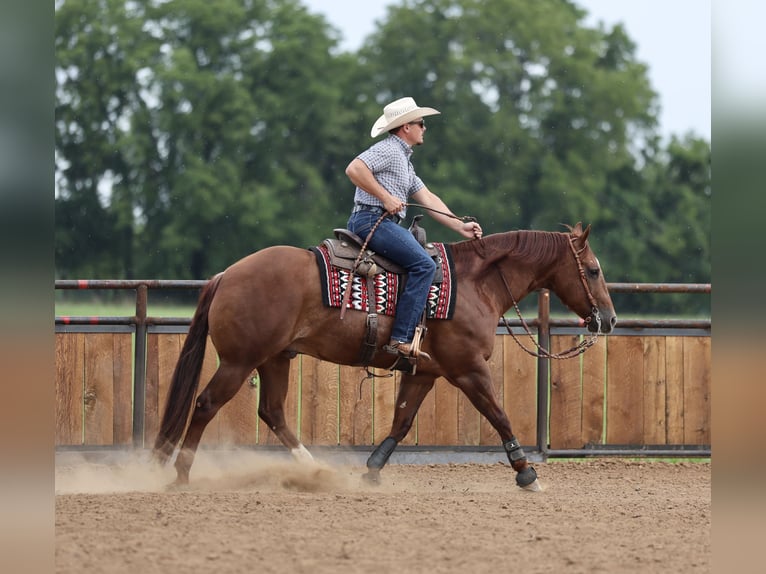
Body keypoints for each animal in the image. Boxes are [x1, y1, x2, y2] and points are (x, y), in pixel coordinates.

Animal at [153, 222, 616, 491]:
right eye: (594, 270)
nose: (609, 320)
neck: (474, 284)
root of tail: (226, 275)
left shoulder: (425, 371)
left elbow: (402, 420)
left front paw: (372, 469)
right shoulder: (469, 369)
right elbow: (497, 413)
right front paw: (525, 471)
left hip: (275, 358)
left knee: (273, 411)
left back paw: (315, 470)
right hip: (239, 361)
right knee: (206, 404)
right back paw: (181, 475)